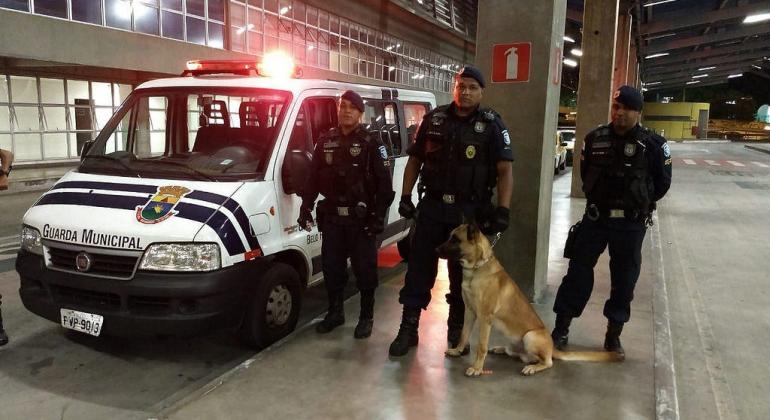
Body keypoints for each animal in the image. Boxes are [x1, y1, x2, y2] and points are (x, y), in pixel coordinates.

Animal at [436, 223, 620, 378]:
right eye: (451, 236)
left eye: (455, 239)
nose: (436, 249)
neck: (477, 268)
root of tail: (552, 348)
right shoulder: (469, 312)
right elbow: (464, 335)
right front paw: (457, 351)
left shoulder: (485, 319)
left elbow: (481, 346)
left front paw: (477, 368)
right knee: (518, 354)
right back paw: (502, 349)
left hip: (530, 337)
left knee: (548, 362)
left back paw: (533, 367)